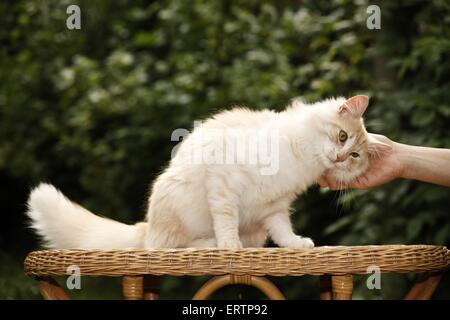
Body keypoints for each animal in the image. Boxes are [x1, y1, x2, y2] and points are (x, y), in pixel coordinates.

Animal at [26, 95, 388, 250]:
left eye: (355, 155)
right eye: (341, 136)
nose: (340, 157)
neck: (300, 158)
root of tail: (148, 226)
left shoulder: (274, 207)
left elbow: (283, 231)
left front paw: (297, 244)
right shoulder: (224, 183)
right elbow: (225, 219)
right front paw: (229, 246)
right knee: (168, 246)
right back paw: (211, 244)